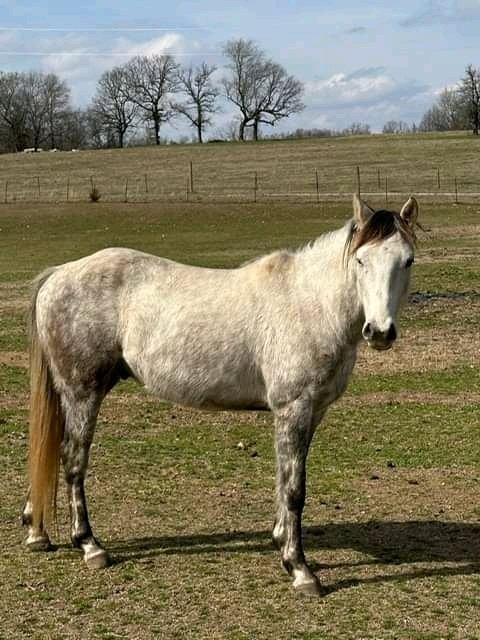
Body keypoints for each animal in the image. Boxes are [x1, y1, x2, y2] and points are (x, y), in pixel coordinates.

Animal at [22, 194, 418, 596]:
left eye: (408, 260)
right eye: (361, 260)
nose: (379, 332)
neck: (310, 304)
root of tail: (59, 274)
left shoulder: (312, 412)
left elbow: (285, 479)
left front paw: (281, 543)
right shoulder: (293, 409)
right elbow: (294, 489)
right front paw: (299, 569)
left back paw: (37, 531)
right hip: (82, 393)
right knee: (72, 460)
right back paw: (90, 546)